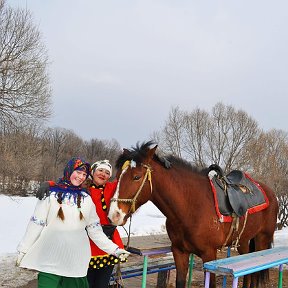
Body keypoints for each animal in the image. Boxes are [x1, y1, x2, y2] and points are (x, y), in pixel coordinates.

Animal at [108, 142, 280, 288]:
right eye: (118, 175)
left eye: (136, 177)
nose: (114, 215)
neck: (190, 208)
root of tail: (270, 192)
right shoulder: (179, 252)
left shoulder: (209, 255)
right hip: (243, 240)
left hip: (262, 239)